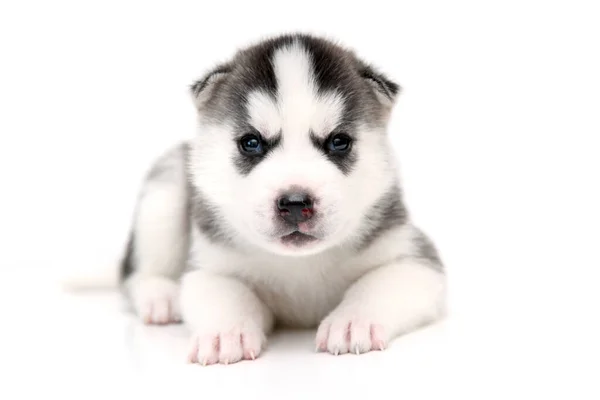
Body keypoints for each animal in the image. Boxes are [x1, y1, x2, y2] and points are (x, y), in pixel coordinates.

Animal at [119, 33, 446, 366]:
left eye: (339, 142)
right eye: (251, 142)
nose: (295, 203)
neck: (300, 264)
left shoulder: (414, 259)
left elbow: (377, 284)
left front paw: (353, 320)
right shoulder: (210, 266)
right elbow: (227, 293)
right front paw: (227, 331)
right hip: (165, 191)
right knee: (134, 273)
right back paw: (160, 296)